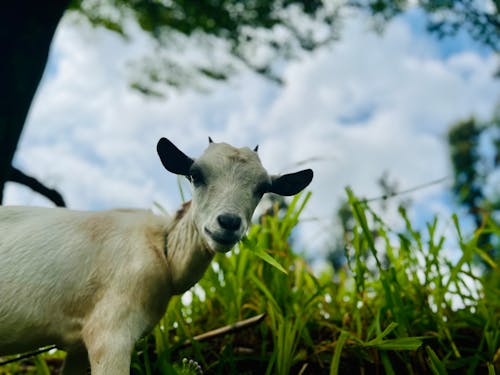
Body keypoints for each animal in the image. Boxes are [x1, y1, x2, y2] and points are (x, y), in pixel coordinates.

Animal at [0, 139, 312, 375]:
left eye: (262, 189)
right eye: (195, 175)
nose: (228, 222)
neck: (163, 249)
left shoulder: (78, 343)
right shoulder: (111, 331)